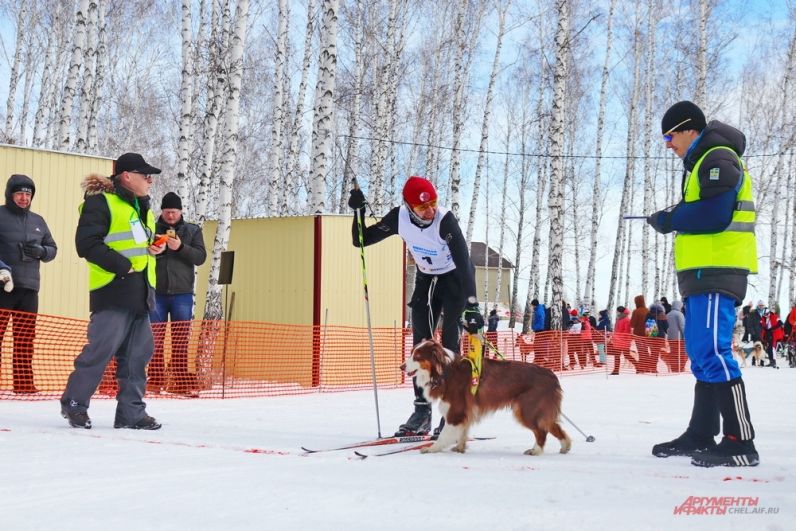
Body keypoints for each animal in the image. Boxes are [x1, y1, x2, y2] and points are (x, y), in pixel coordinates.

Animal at [404, 340, 564, 458]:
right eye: (411, 353)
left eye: (417, 356)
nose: (401, 366)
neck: (444, 370)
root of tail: (551, 375)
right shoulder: (464, 412)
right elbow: (463, 432)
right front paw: (460, 448)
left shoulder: (455, 411)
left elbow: (444, 434)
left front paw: (432, 449)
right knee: (554, 427)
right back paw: (565, 446)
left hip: (527, 410)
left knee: (541, 431)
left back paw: (536, 451)